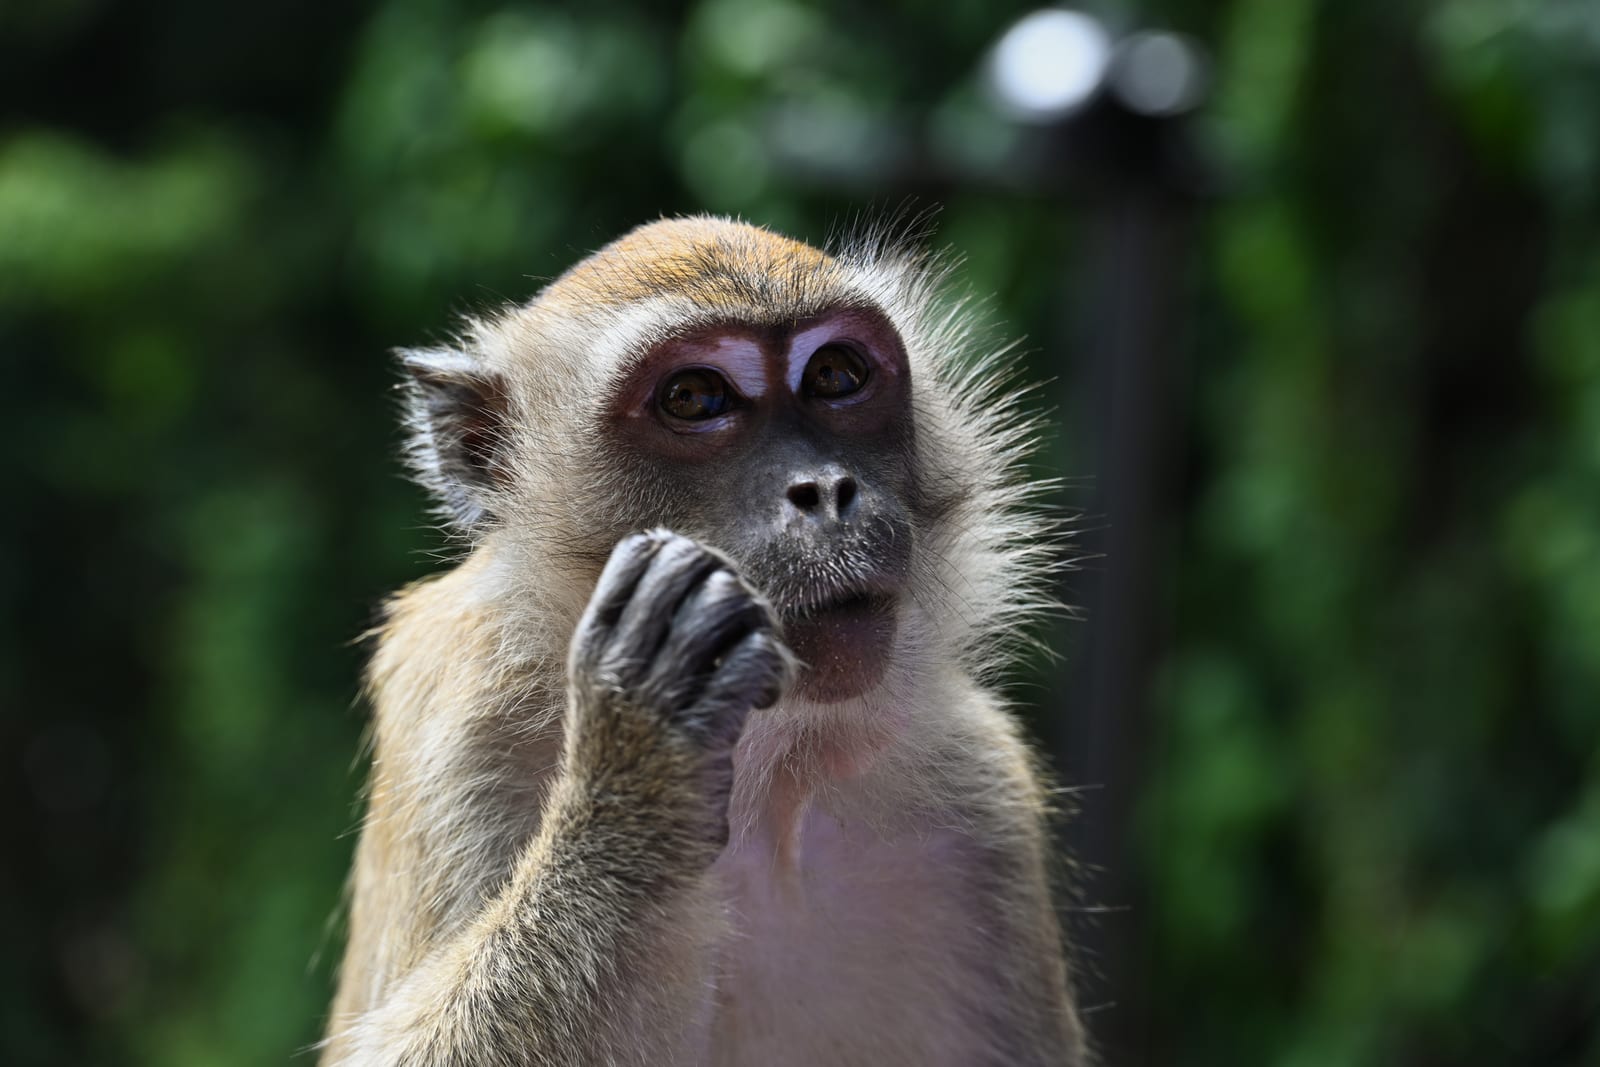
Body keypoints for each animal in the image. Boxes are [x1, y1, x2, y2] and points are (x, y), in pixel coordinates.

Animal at [319, 216, 1087, 1066]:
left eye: (835, 375)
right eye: (693, 397)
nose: (825, 489)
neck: (762, 773)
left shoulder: (982, 799)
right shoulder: (460, 727)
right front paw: (635, 775)